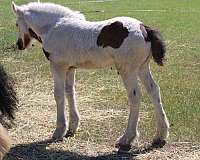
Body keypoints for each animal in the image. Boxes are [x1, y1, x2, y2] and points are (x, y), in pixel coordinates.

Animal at [11, 1, 170, 151]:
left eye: (17, 24)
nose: (19, 45)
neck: (53, 26)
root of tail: (145, 29)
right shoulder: (70, 68)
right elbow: (70, 92)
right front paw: (72, 127)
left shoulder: (57, 66)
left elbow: (59, 95)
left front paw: (59, 131)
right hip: (142, 68)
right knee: (154, 91)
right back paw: (160, 136)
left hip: (128, 70)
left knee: (135, 95)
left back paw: (126, 138)